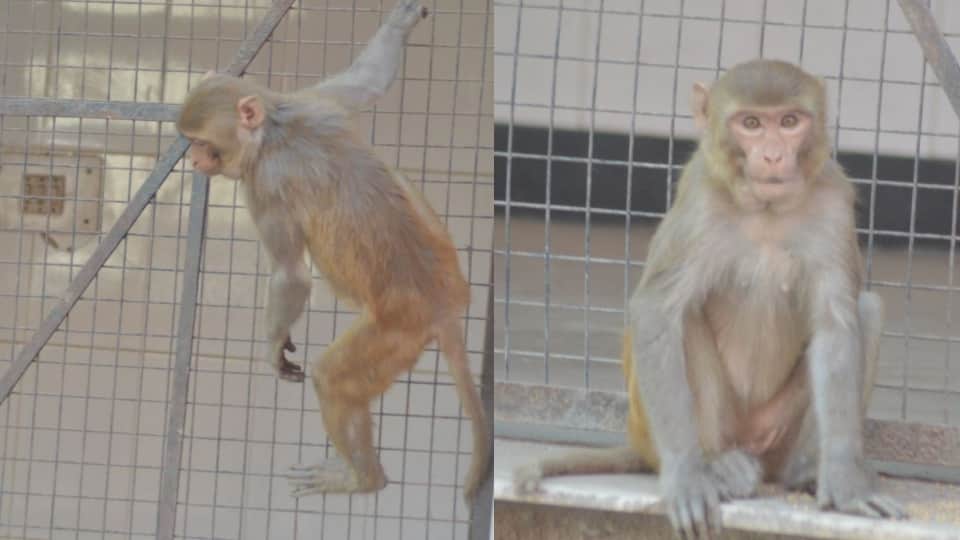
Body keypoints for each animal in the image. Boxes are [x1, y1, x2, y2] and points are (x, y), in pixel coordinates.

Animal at [176, 0, 491, 504]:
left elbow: (291, 275)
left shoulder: (262, 185)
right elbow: (367, 82)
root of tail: (444, 303)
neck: (273, 130)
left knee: (333, 377)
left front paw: (270, 348)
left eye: (204, 144)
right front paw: (400, 22)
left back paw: (364, 478)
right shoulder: (310, 100)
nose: (193, 160)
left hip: (396, 332)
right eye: (191, 144)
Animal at [513, 59, 906, 538]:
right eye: (751, 124)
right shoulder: (700, 204)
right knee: (683, 319)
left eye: (789, 122)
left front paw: (845, 483)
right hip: (690, 429)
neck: (765, 211)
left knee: (865, 309)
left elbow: (836, 325)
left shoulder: (833, 202)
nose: (773, 156)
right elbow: (657, 312)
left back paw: (806, 471)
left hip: (775, 431)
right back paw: (715, 466)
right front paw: (686, 476)